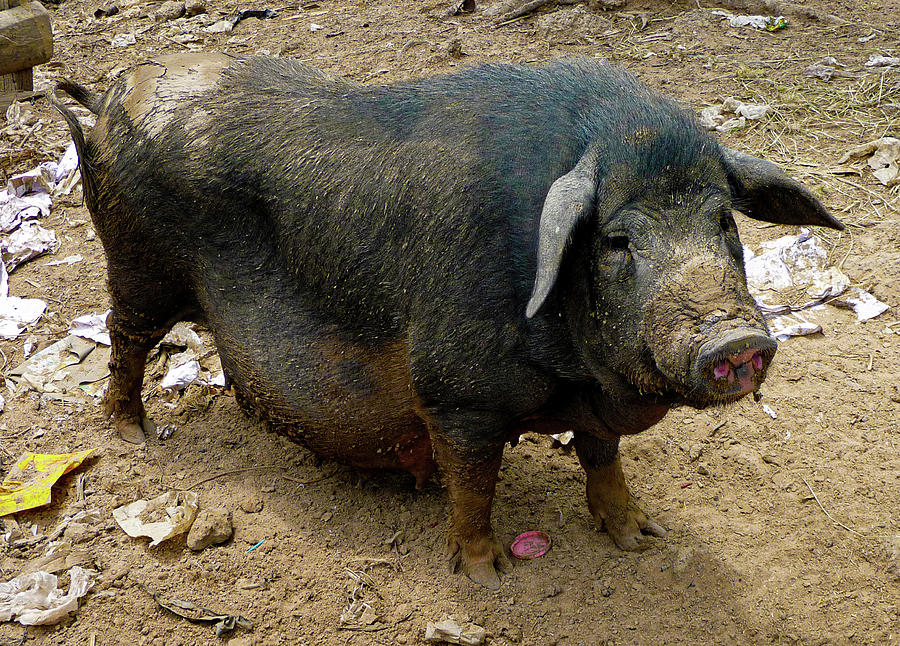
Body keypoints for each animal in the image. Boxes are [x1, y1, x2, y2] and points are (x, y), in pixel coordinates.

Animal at [51, 54, 842, 589]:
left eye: (723, 220)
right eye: (619, 240)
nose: (737, 339)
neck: (580, 373)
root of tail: (113, 92)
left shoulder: (590, 405)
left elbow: (602, 457)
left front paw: (639, 538)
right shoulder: (457, 395)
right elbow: (474, 481)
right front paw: (486, 576)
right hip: (136, 264)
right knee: (125, 339)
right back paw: (130, 433)